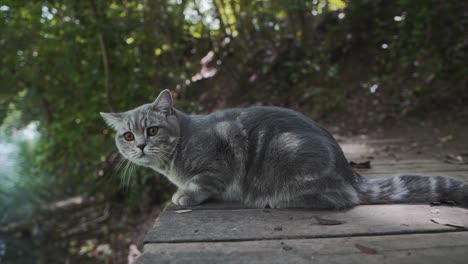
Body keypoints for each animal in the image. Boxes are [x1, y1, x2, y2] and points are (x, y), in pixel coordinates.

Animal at [101, 89, 468, 209]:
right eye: (128, 136)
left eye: (151, 130)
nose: (141, 145)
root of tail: (349, 175)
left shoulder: (216, 165)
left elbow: (202, 184)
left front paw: (185, 196)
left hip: (287, 153)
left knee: (340, 200)